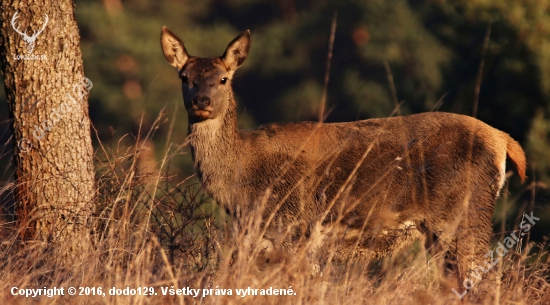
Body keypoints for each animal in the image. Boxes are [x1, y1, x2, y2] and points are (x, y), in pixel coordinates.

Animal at [160, 26, 528, 284]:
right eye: (184, 77)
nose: (202, 101)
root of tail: (503, 140)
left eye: (224, 78)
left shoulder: (294, 227)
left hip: (462, 214)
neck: (241, 182)